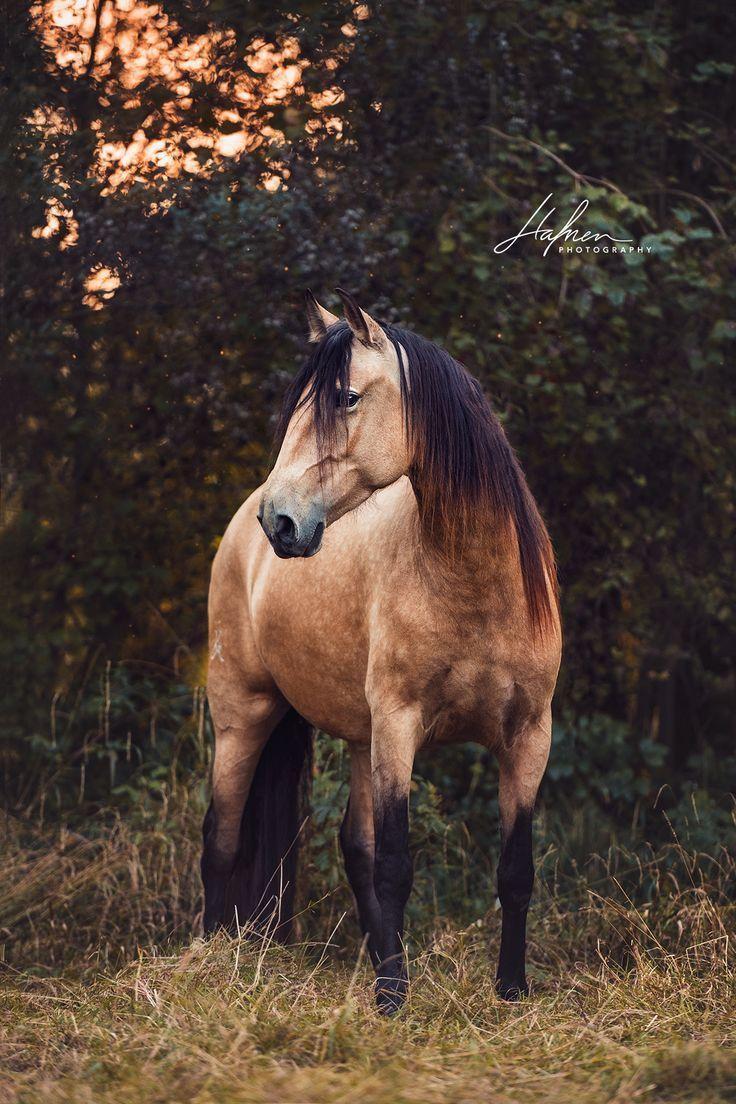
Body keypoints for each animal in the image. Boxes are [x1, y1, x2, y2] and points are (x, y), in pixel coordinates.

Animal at [201, 289, 561, 1014]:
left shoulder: (529, 737)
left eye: (345, 398)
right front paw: (396, 1000)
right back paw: (205, 960)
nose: (279, 520)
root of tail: (239, 535)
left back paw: (377, 963)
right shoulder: (400, 727)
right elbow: (396, 864)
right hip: (242, 717)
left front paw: (510, 990)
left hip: (358, 735)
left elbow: (515, 871)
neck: (475, 584)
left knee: (352, 847)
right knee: (220, 839)